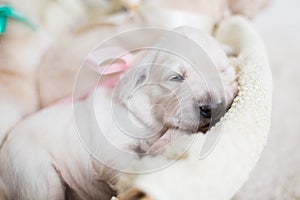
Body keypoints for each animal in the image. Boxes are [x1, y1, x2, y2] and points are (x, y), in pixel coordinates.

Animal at [0, 27, 237, 200]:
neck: (149, 120)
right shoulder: (111, 148)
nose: (212, 107)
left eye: (221, 71)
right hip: (34, 173)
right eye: (177, 77)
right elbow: (130, 166)